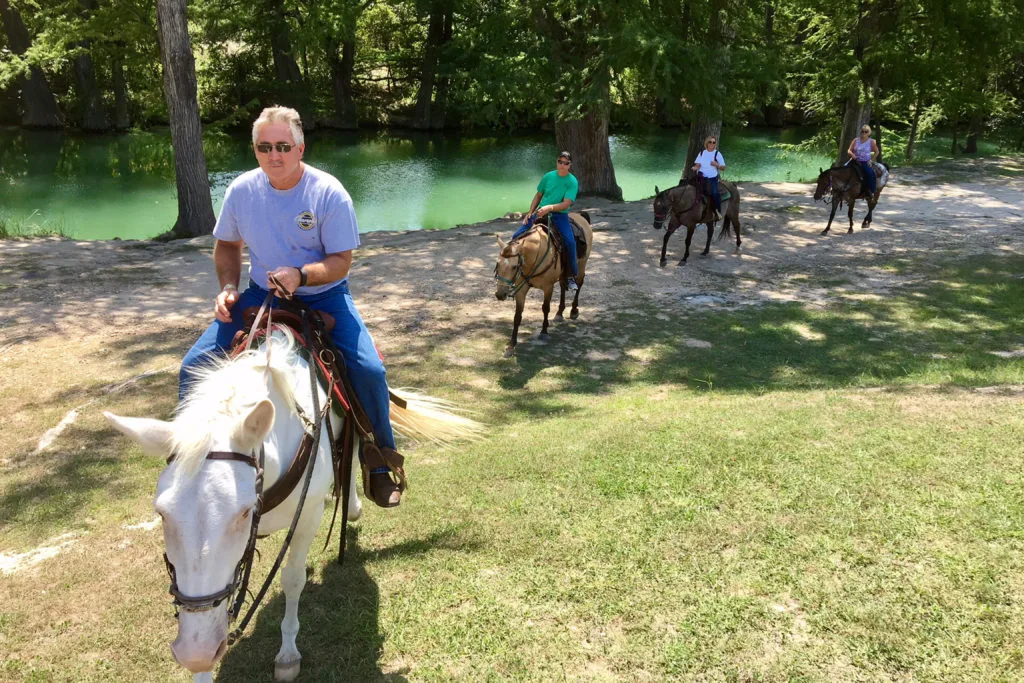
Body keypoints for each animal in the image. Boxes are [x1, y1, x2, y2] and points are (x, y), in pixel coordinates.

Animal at [105, 327, 481, 679]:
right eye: (161, 513)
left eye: (244, 512)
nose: (194, 652)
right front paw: (202, 667)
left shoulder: (308, 516)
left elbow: (293, 578)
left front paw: (287, 654)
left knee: (356, 451)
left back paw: (358, 504)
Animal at [493, 211, 593, 358]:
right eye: (498, 264)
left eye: (514, 266)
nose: (500, 294)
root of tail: (580, 215)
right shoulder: (521, 289)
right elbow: (517, 315)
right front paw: (511, 345)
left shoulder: (548, 287)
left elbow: (545, 308)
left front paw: (544, 332)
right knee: (563, 286)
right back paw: (559, 313)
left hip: (581, 266)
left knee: (579, 284)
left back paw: (574, 310)